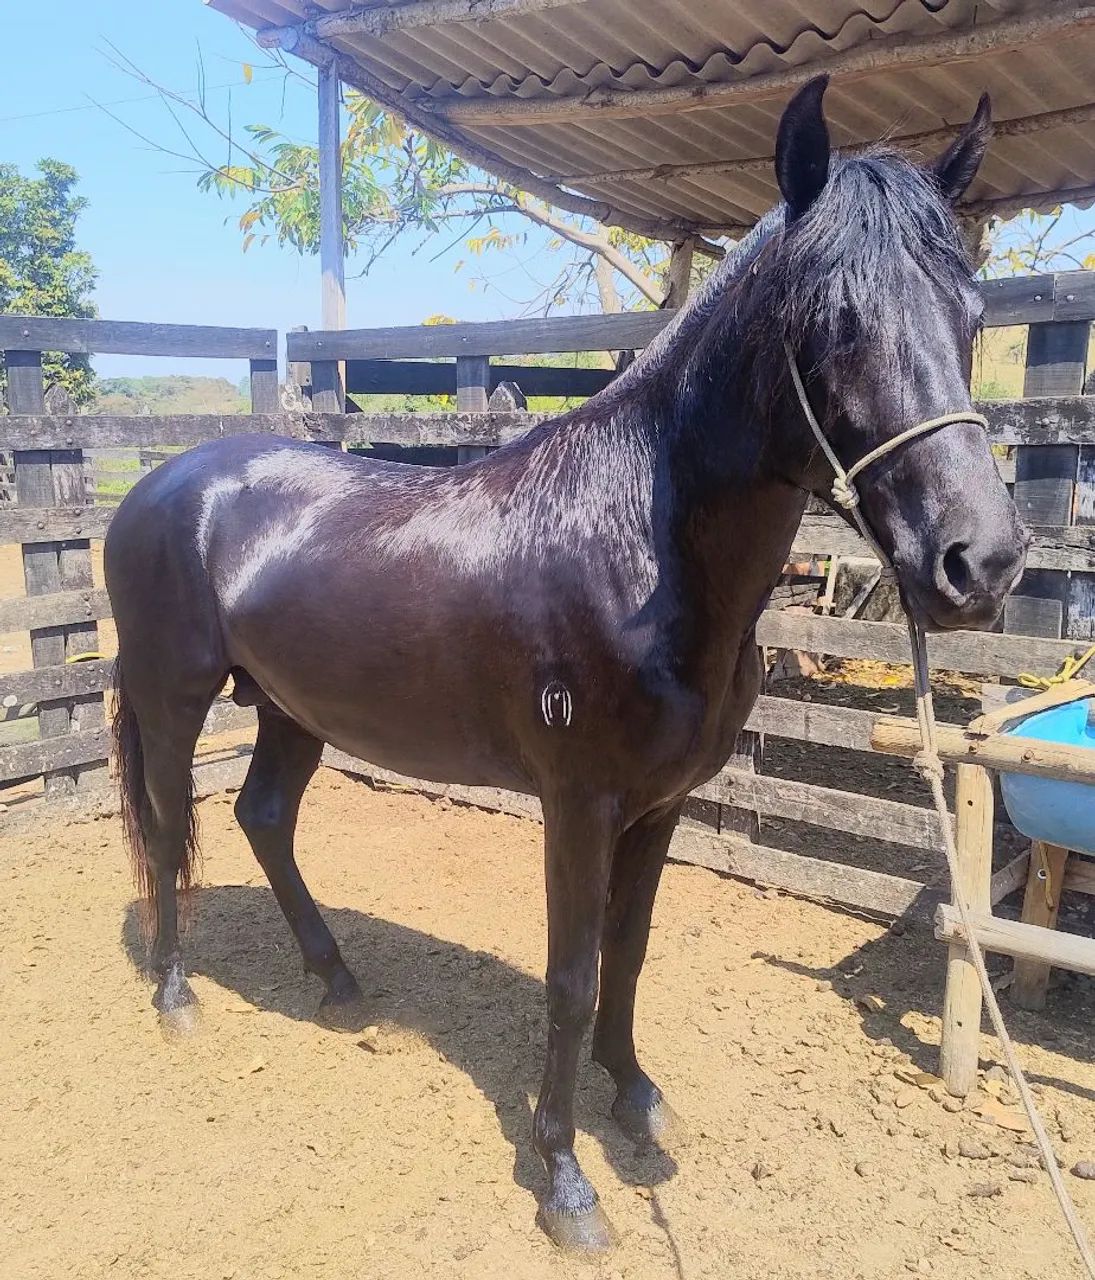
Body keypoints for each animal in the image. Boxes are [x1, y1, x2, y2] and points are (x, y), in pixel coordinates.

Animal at [105, 76, 1027, 1252]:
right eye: (835, 320)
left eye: (970, 317)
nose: (978, 560)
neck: (636, 545)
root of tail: (160, 483)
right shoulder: (578, 804)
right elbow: (573, 975)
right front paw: (564, 1177)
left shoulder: (658, 804)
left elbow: (628, 955)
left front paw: (633, 1098)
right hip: (175, 702)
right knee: (168, 825)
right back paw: (177, 995)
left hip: (289, 708)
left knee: (262, 816)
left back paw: (338, 980)